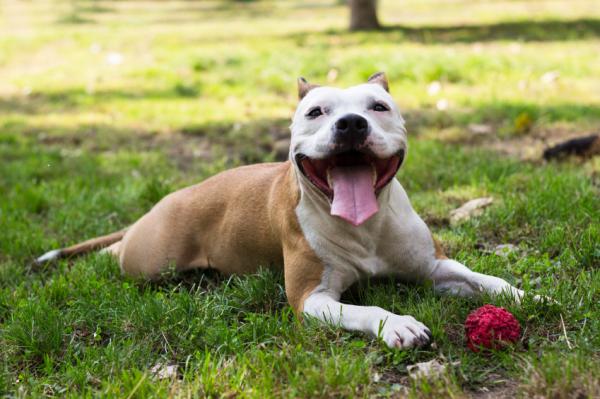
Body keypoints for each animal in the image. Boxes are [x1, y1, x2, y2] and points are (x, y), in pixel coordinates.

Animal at [37, 73, 532, 348]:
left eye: (379, 107)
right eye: (316, 111)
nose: (350, 124)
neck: (366, 227)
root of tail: (168, 198)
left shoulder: (433, 266)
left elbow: (482, 278)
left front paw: (527, 295)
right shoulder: (312, 299)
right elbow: (366, 308)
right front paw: (398, 325)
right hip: (151, 261)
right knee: (119, 253)